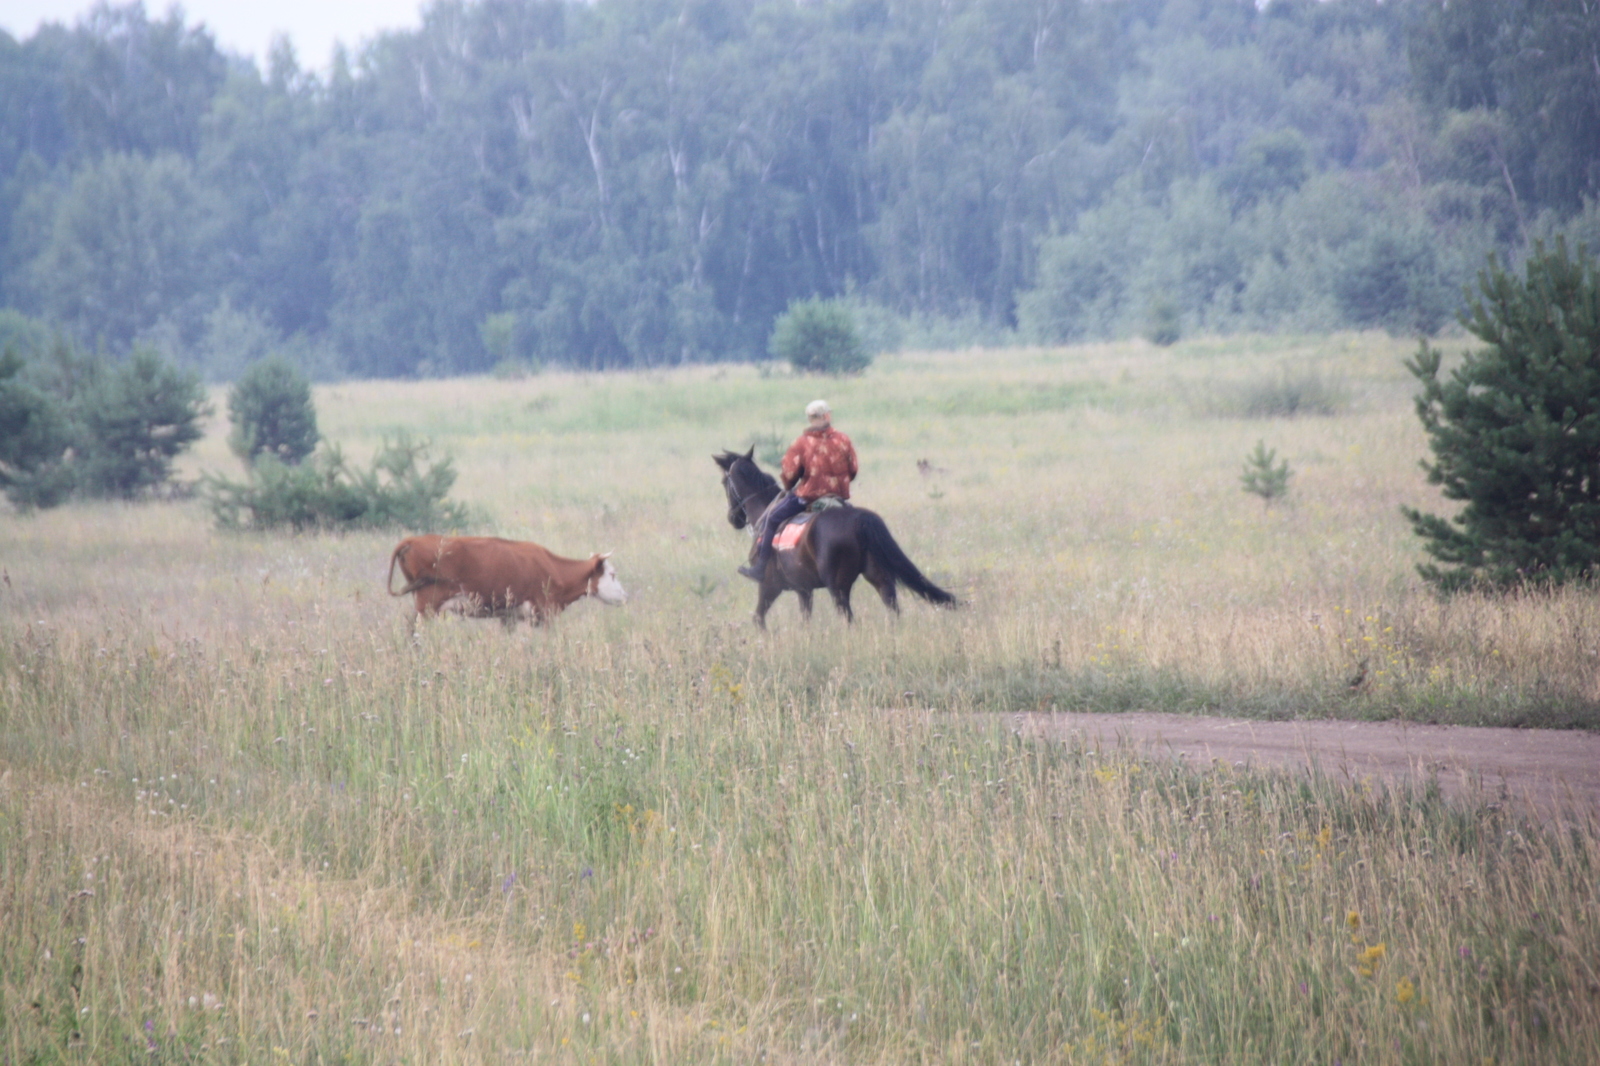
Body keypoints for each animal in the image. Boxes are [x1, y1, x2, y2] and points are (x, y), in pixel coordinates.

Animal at [387, 531, 630, 624]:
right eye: (612, 574)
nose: (625, 596)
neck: (553, 567)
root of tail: (413, 540)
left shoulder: (510, 617)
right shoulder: (543, 614)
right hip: (427, 605)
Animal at [716, 444, 953, 627]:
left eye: (724, 482)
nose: (733, 518)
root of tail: (859, 518)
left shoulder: (769, 586)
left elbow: (758, 619)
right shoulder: (803, 590)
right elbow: (805, 622)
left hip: (838, 588)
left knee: (848, 618)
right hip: (880, 578)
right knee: (892, 608)